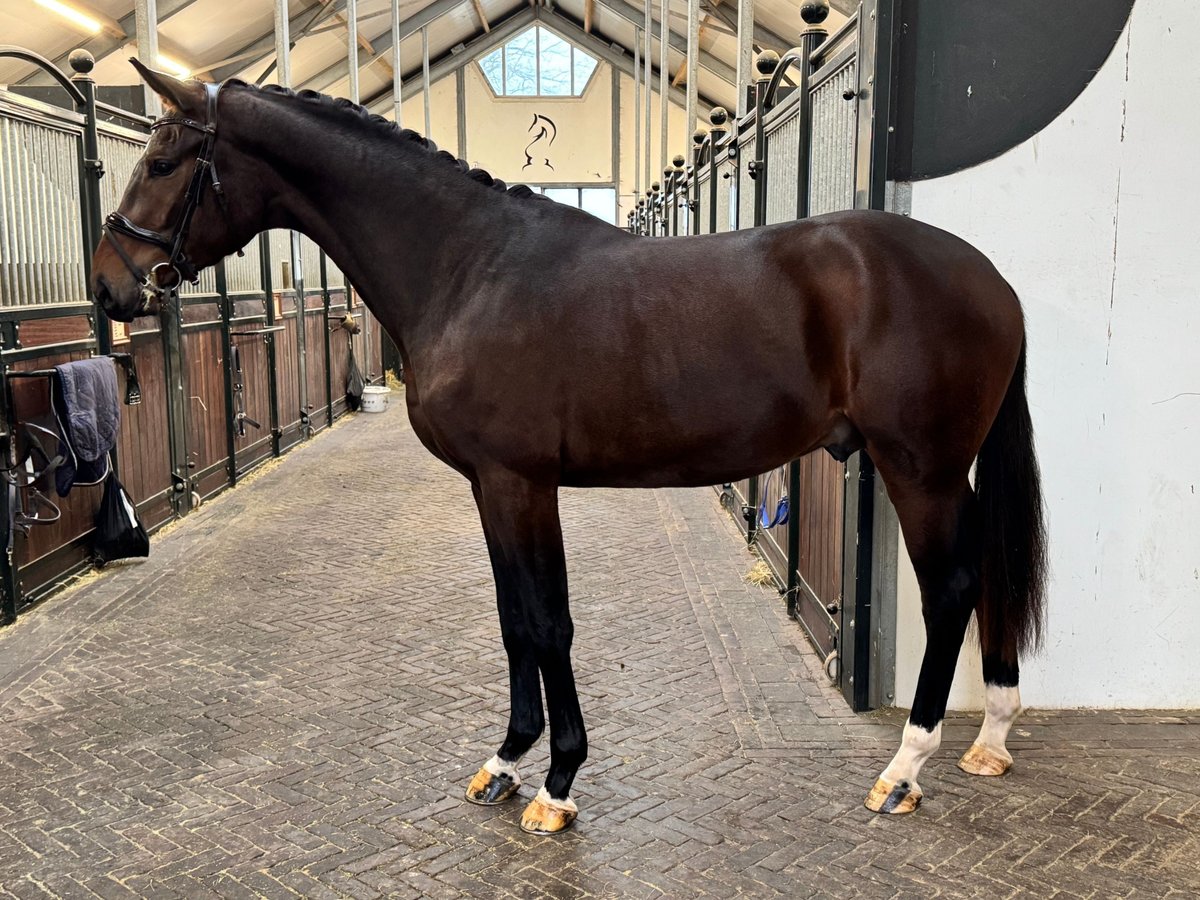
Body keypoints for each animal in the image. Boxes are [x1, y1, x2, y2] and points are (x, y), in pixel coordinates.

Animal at [90, 63, 1047, 833]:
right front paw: (506, 761)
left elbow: (549, 621)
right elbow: (515, 619)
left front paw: (557, 784)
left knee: (952, 589)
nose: (107, 288)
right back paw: (993, 736)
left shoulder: (521, 482)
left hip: (919, 471)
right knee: (990, 575)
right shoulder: (489, 486)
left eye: (164, 162)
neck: (469, 268)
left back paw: (904, 769)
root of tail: (993, 279)